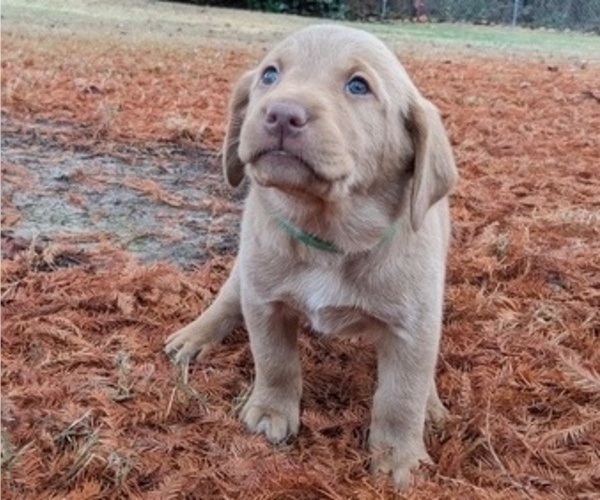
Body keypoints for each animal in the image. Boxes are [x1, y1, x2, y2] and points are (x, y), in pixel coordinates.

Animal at [164, 23, 454, 488]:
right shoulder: (264, 301)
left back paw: (430, 405)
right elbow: (275, 361)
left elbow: (400, 396)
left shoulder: (414, 324)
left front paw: (398, 458)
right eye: (270, 75)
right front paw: (270, 413)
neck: (329, 236)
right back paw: (195, 335)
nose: (281, 113)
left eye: (358, 85)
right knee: (228, 299)